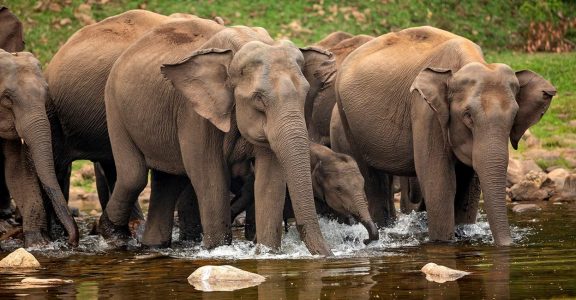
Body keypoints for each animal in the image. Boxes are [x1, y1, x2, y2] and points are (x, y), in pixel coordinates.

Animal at [101, 17, 336, 255]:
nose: (329, 255)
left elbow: (271, 175)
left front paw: (268, 252)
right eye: (259, 98)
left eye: (305, 95)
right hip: (114, 106)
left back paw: (152, 245)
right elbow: (208, 171)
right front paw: (217, 249)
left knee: (167, 181)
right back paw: (113, 235)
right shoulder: (194, 112)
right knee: (134, 175)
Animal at [336, 26, 556, 246]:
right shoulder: (425, 109)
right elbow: (440, 184)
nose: (509, 245)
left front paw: (463, 234)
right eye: (468, 116)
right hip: (347, 119)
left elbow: (469, 186)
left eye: (514, 117)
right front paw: (443, 242)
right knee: (373, 181)